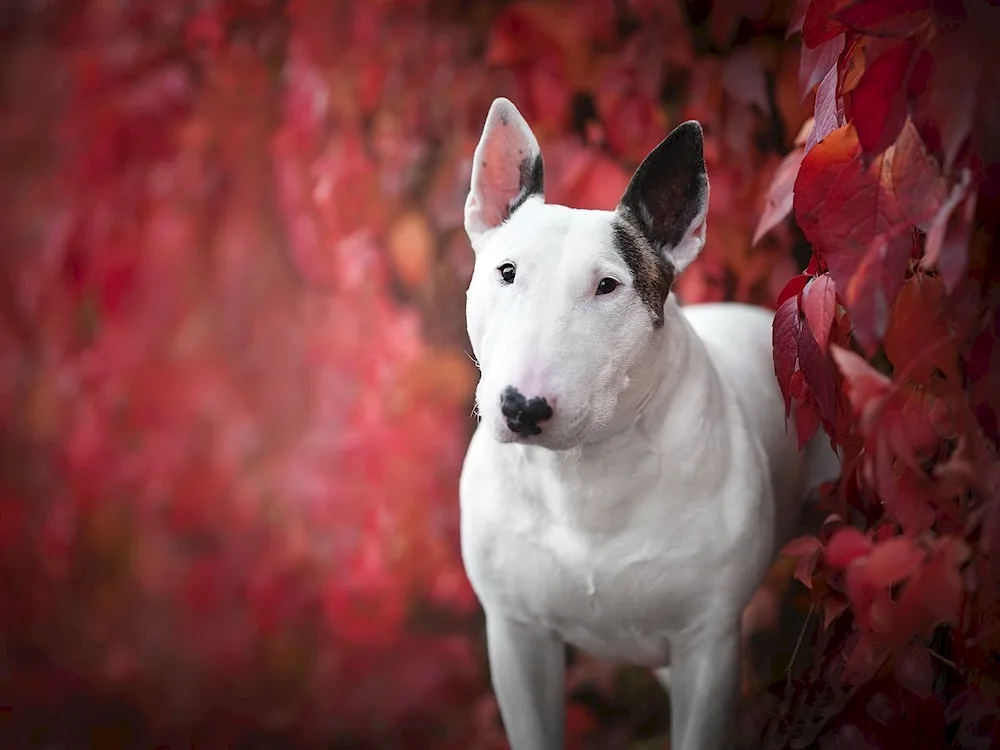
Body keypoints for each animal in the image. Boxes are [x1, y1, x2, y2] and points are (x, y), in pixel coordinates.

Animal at [458, 97, 836, 748]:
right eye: (506, 272)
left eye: (608, 285)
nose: (522, 408)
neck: (585, 474)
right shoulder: (516, 634)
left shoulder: (707, 645)